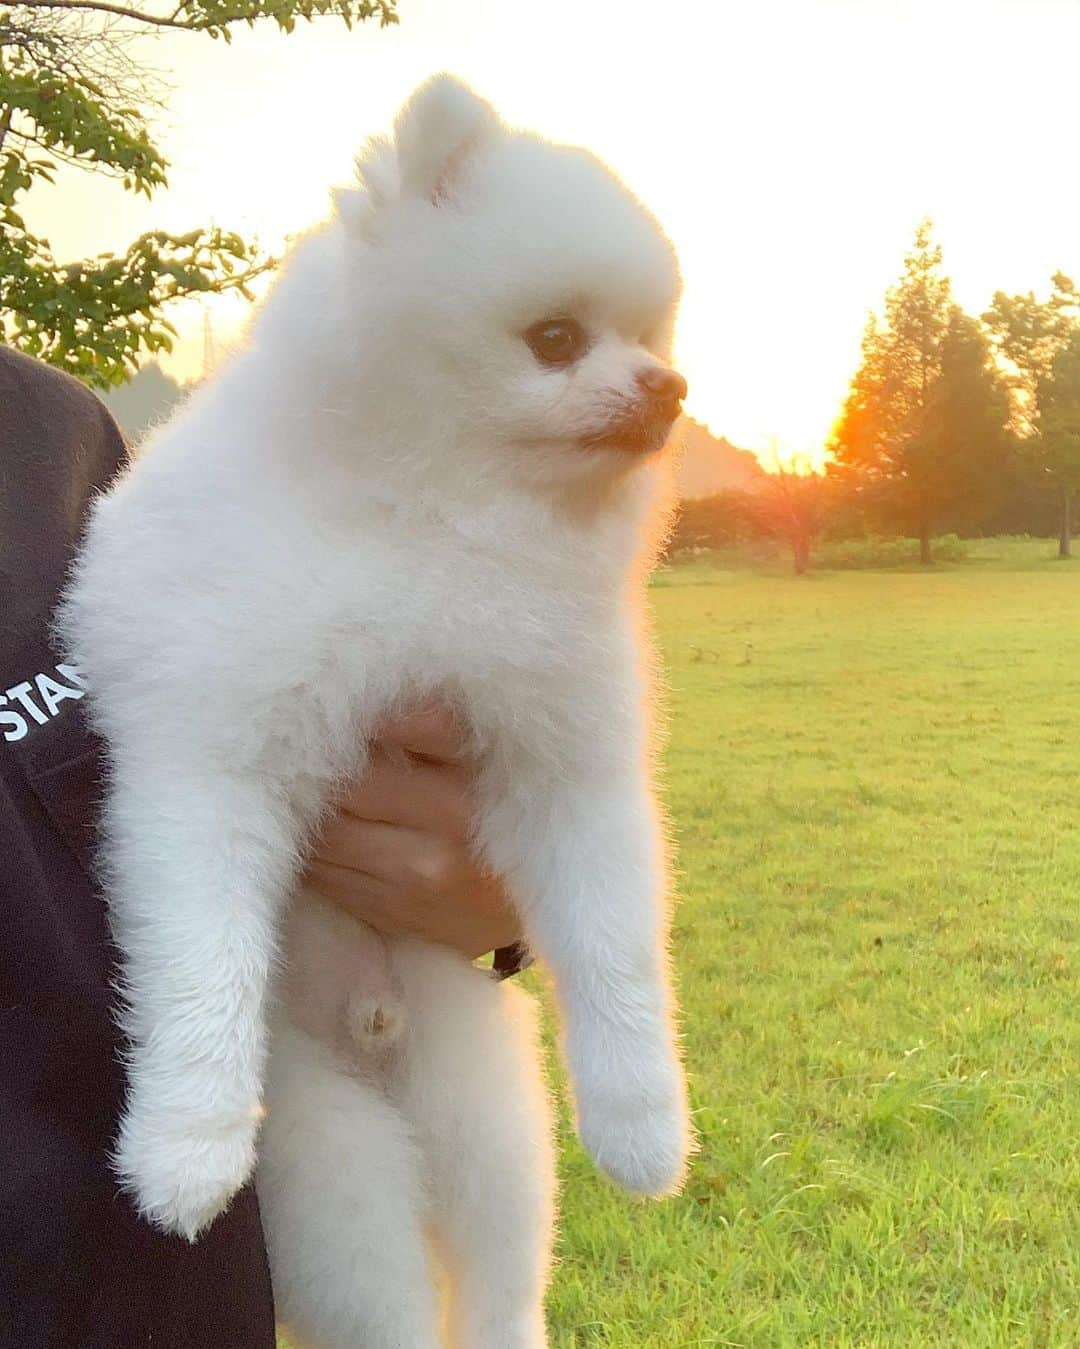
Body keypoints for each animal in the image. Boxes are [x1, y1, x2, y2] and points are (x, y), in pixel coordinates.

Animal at [61, 76, 690, 1349]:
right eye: (556, 339)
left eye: (651, 340)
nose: (669, 387)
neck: (435, 516)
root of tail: (381, 1037)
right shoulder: (206, 758)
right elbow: (199, 959)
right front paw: (182, 1153)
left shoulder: (563, 754)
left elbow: (614, 947)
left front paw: (644, 1127)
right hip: (327, 1170)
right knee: (388, 1293)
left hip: (489, 1123)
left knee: (500, 1277)